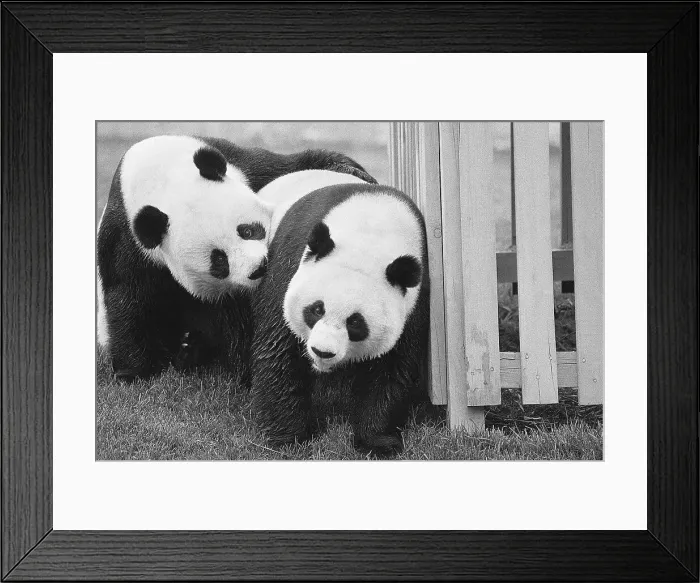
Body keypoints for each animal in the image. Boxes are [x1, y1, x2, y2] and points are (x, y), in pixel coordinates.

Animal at [97, 136, 375, 382]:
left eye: (248, 230)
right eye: (218, 261)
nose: (258, 269)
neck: (161, 177)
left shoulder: (247, 167)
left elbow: (293, 164)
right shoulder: (127, 239)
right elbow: (128, 297)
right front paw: (135, 370)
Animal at [250, 171, 429, 457]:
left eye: (355, 323)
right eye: (316, 309)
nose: (322, 352)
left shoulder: (414, 300)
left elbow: (392, 368)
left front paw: (378, 441)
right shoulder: (289, 263)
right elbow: (279, 349)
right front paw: (289, 438)